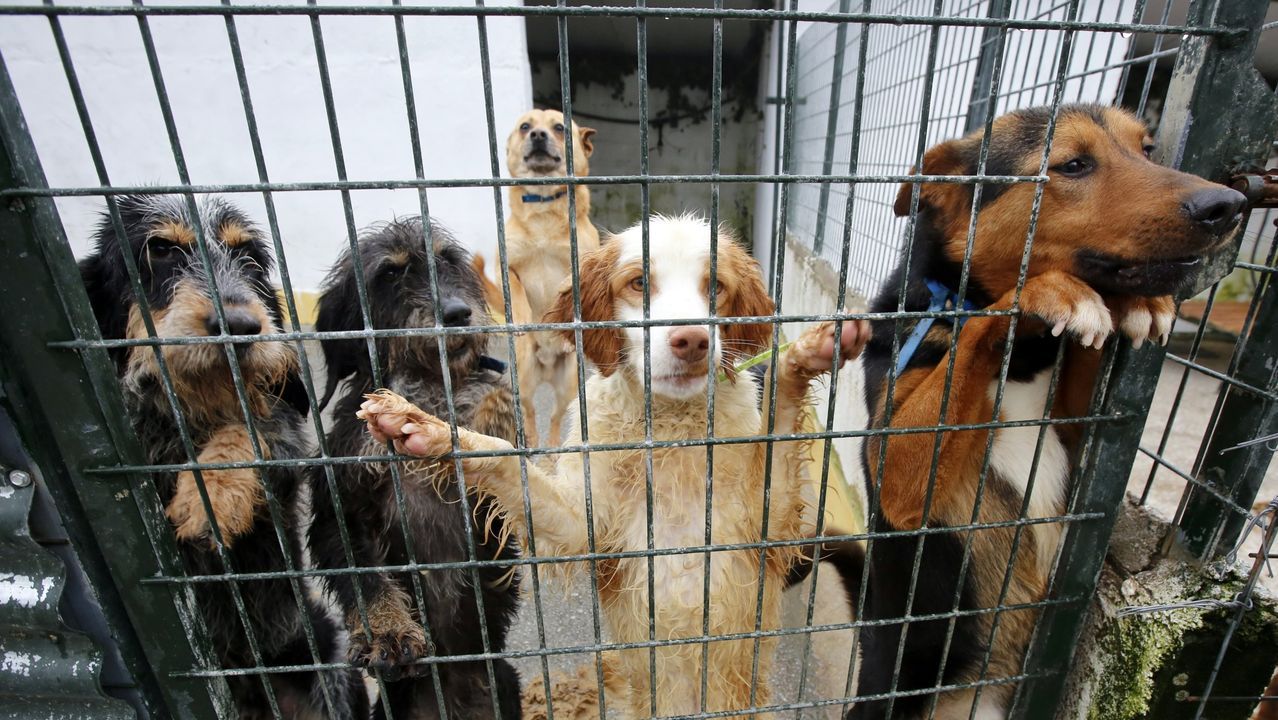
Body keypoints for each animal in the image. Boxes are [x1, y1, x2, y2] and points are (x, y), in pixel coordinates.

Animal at [79, 194, 368, 716]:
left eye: (249, 257)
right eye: (161, 249)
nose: (240, 326)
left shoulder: (286, 453)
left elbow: (253, 429)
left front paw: (210, 499)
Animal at [500, 108, 600, 447]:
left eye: (559, 128)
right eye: (524, 127)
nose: (538, 135)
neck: (543, 205)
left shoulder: (583, 263)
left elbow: (567, 286)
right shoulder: (506, 266)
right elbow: (516, 292)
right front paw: (521, 318)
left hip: (568, 383)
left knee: (556, 417)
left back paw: (554, 446)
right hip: (523, 378)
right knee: (530, 411)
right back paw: (532, 439)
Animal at [848, 105, 1247, 720]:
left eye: (1148, 150)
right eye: (1073, 165)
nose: (1229, 204)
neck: (1023, 361)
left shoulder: (1073, 426)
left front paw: (1137, 302)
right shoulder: (897, 474)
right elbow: (988, 323)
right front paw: (1048, 292)